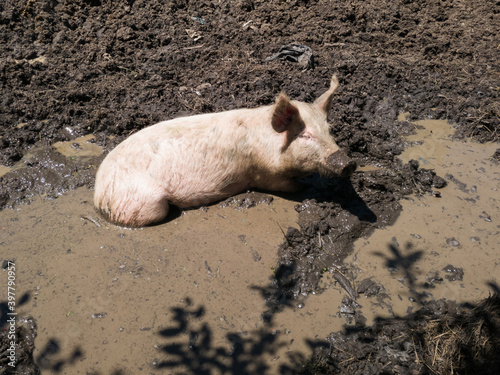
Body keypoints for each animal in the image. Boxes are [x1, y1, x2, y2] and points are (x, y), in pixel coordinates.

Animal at [94, 73, 358, 226]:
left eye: (329, 130)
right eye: (305, 135)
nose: (348, 162)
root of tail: (98, 196)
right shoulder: (266, 175)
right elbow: (292, 187)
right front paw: (309, 188)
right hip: (146, 204)